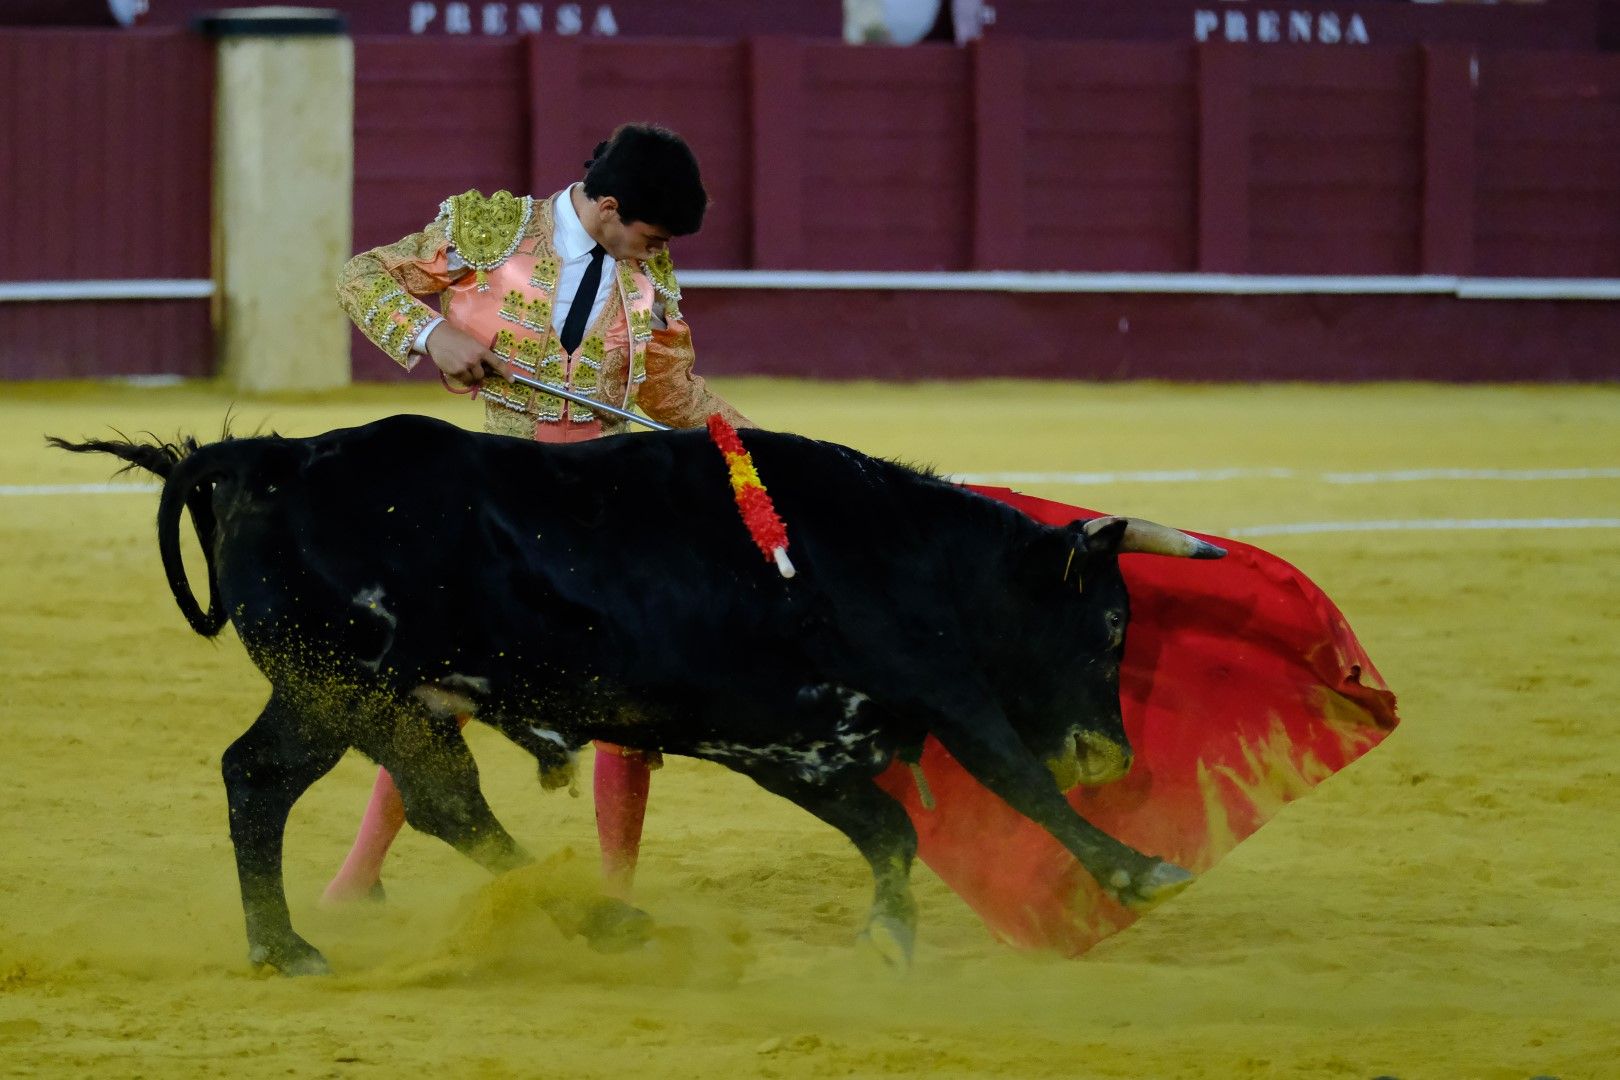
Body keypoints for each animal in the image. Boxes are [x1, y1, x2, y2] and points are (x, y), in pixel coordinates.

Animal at [53, 414, 1224, 971]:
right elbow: (1018, 782)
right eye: (1110, 625)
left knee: (401, 796)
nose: (1112, 755)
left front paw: (887, 941)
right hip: (340, 687)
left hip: (365, 699)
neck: (902, 547)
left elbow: (888, 831)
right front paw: (1144, 871)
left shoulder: (784, 739)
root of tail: (271, 457)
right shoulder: (937, 693)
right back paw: (297, 946)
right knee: (286, 783)